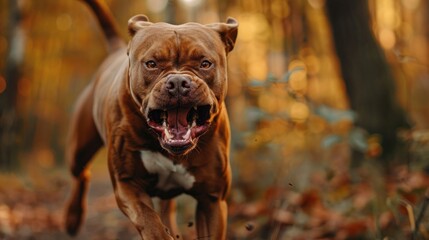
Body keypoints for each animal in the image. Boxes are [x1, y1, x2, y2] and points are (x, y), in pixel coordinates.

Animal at [64, 0, 237, 238]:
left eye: (204, 63)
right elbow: (150, 222)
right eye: (152, 64)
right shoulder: (127, 183)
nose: (178, 83)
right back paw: (73, 217)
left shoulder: (212, 200)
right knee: (81, 173)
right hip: (80, 149)